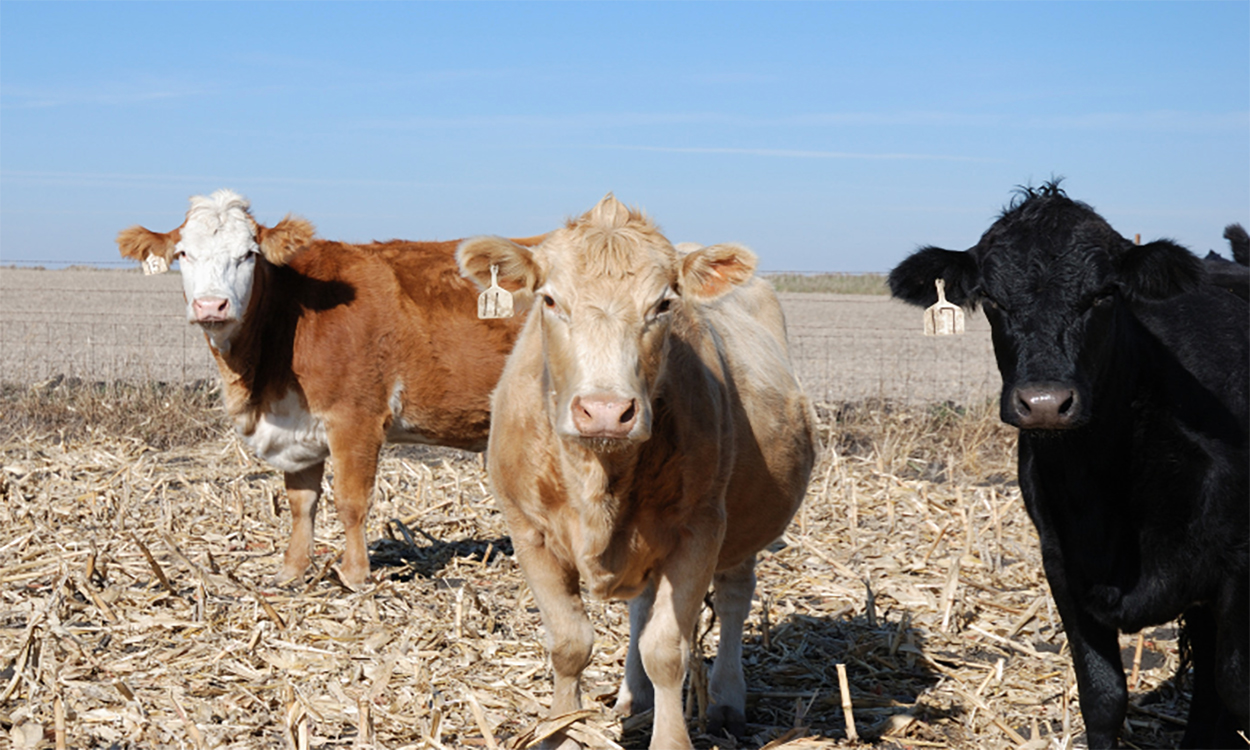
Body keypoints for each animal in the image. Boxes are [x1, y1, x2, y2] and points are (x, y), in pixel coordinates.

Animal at [118, 190, 542, 590]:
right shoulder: (294, 425)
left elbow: (350, 501)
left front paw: (353, 574)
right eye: (183, 253)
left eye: (248, 255)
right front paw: (291, 571)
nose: (211, 306)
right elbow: (301, 503)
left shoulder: (355, 418)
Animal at [460, 195, 820, 750]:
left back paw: (727, 702)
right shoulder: (528, 531)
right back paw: (634, 698)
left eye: (663, 305)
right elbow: (569, 643)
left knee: (734, 598)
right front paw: (561, 728)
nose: (606, 411)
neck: (599, 479)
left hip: (744, 524)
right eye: (549, 301)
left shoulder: (699, 528)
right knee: (641, 606)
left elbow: (666, 649)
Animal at [890, 182, 1250, 750]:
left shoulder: (1238, 565)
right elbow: (1103, 697)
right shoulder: (1061, 562)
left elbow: (1237, 686)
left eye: (1104, 295)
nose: (1043, 403)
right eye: (991, 299)